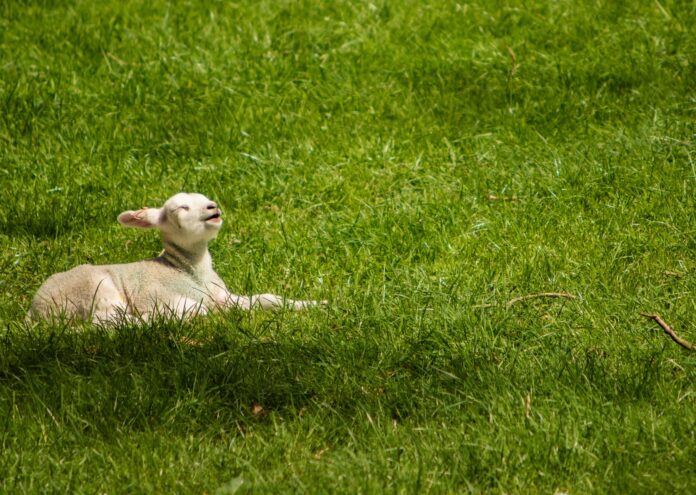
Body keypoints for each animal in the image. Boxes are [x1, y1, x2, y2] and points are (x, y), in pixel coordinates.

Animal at [27, 191, 320, 326]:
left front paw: (317, 305)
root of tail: (34, 309)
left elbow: (269, 298)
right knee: (106, 322)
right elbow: (196, 308)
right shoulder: (153, 293)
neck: (188, 271)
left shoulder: (223, 295)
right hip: (94, 291)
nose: (213, 207)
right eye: (180, 208)